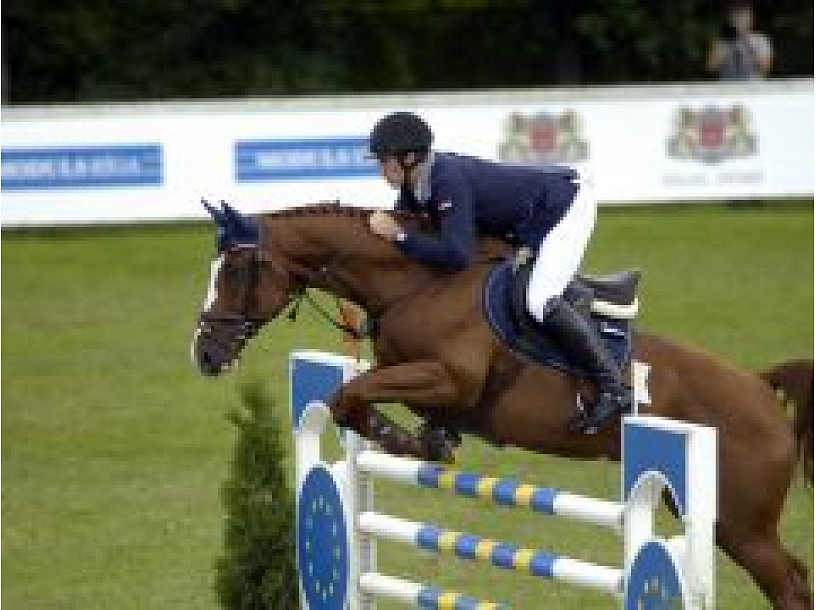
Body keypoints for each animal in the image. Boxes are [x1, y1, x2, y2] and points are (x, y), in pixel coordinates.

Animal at [191, 201, 813, 609]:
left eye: (238, 270)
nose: (205, 353)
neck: (416, 284)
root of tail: (761, 388)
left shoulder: (451, 379)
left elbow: (350, 393)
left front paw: (399, 439)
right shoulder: (419, 378)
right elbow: (358, 395)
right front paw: (427, 441)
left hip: (741, 524)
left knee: (788, 582)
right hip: (715, 519)